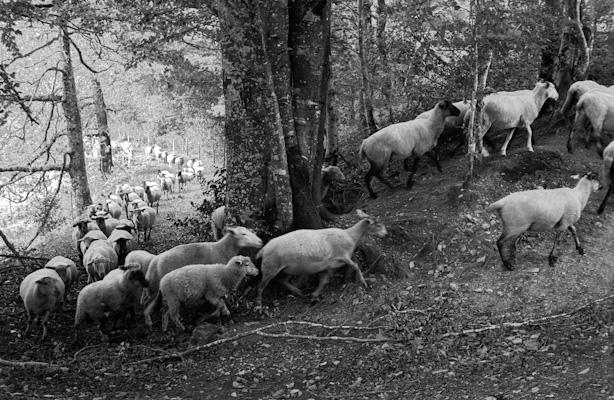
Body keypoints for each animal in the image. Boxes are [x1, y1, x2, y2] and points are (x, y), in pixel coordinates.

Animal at [258, 208, 388, 304]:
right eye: (378, 225)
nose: (386, 234)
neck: (350, 236)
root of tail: (263, 249)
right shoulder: (343, 255)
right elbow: (356, 265)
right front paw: (364, 283)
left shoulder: (329, 265)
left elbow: (324, 280)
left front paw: (314, 295)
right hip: (270, 268)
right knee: (261, 287)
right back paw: (259, 306)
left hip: (287, 269)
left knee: (281, 280)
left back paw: (299, 292)